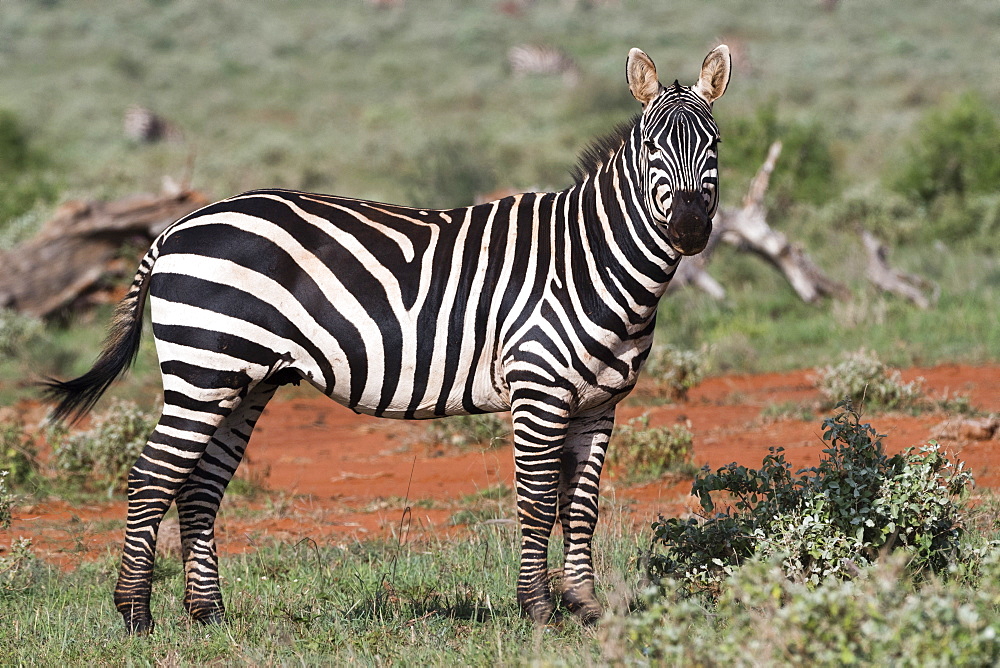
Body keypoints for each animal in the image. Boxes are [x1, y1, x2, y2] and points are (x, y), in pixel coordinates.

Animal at [45, 45, 728, 632]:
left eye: (713, 146)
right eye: (651, 149)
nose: (692, 228)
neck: (590, 260)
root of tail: (175, 226)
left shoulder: (598, 403)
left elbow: (581, 507)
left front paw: (584, 607)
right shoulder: (538, 391)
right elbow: (536, 503)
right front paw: (538, 611)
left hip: (246, 381)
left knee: (199, 486)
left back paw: (207, 616)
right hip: (204, 368)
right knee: (150, 476)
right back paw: (136, 615)